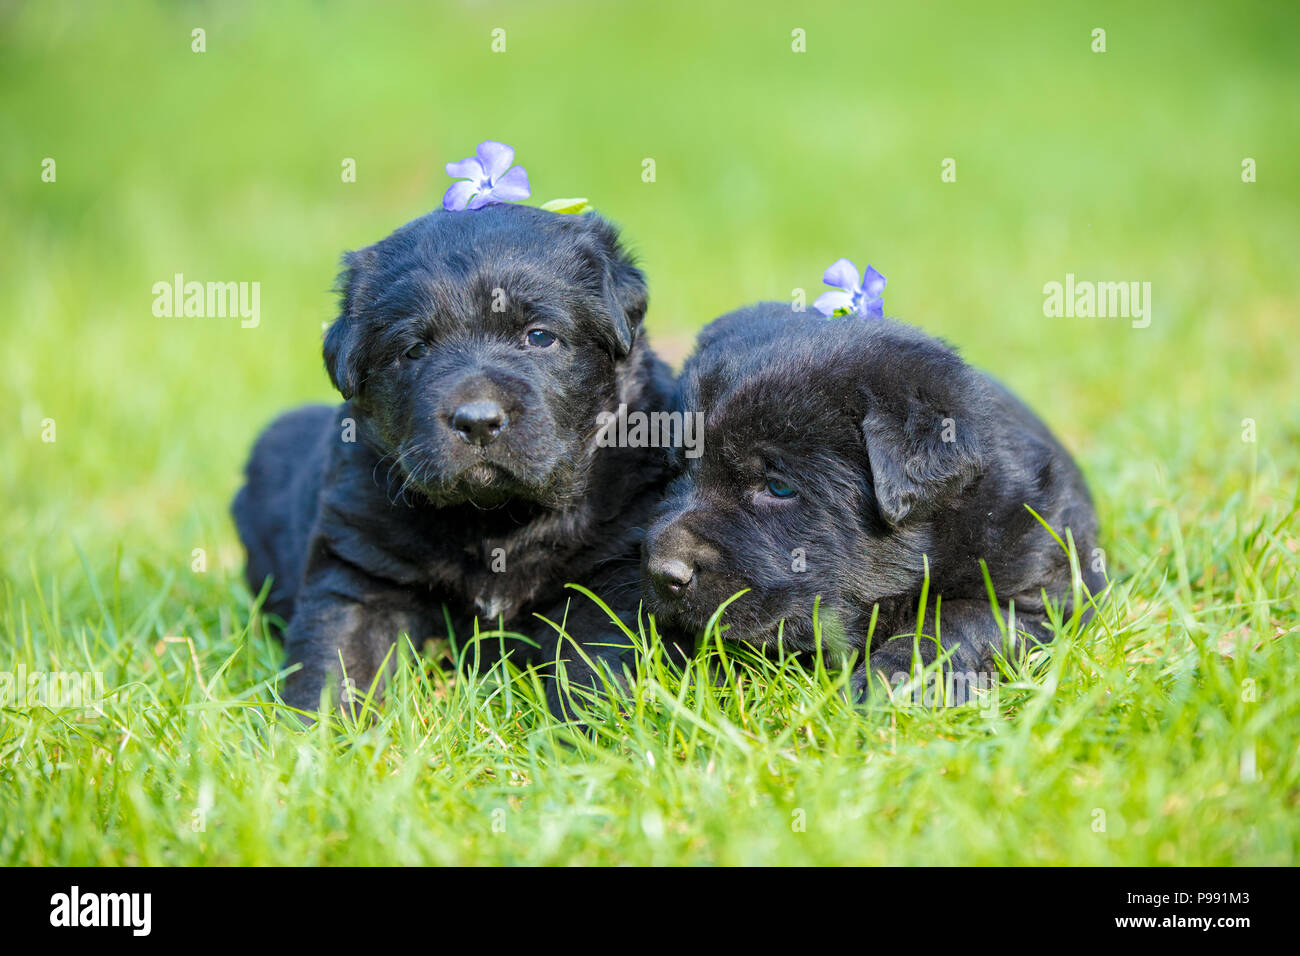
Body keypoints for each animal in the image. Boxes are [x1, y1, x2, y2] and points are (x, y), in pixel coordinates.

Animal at [233, 205, 686, 712]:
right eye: (414, 349)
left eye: (539, 336)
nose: (478, 421)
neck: (496, 520)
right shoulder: (360, 566)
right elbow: (337, 661)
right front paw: (317, 729)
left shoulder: (610, 571)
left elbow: (592, 668)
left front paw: (589, 728)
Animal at [644, 306, 1102, 702]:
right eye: (676, 472)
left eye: (777, 487)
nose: (662, 573)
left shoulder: (1050, 595)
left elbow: (962, 617)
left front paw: (890, 680)